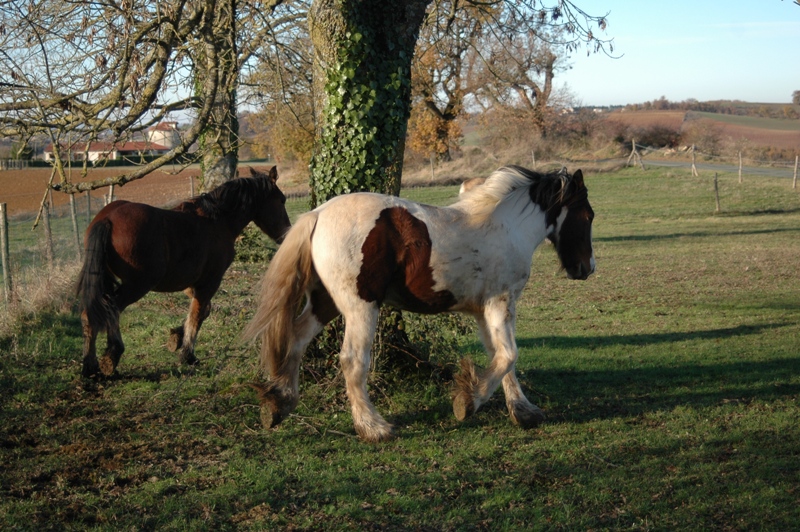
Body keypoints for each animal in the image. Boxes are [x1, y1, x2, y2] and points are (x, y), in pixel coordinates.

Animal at [76, 166, 290, 378]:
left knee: (90, 315)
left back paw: (89, 366)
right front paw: (188, 354)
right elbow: (197, 314)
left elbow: (203, 310)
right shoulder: (210, 281)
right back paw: (111, 356)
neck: (218, 220)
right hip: (137, 285)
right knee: (111, 309)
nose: (286, 234)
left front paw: (176, 337)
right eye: (282, 200)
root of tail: (107, 219)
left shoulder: (190, 283)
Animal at [244, 165, 592, 440]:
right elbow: (508, 355)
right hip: (361, 306)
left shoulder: (484, 311)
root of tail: (317, 214)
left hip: (324, 301)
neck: (506, 228)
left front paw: (523, 412)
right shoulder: (500, 301)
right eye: (588, 215)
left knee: (296, 340)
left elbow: (501, 357)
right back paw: (374, 428)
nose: (586, 268)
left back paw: (278, 403)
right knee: (352, 360)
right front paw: (467, 403)